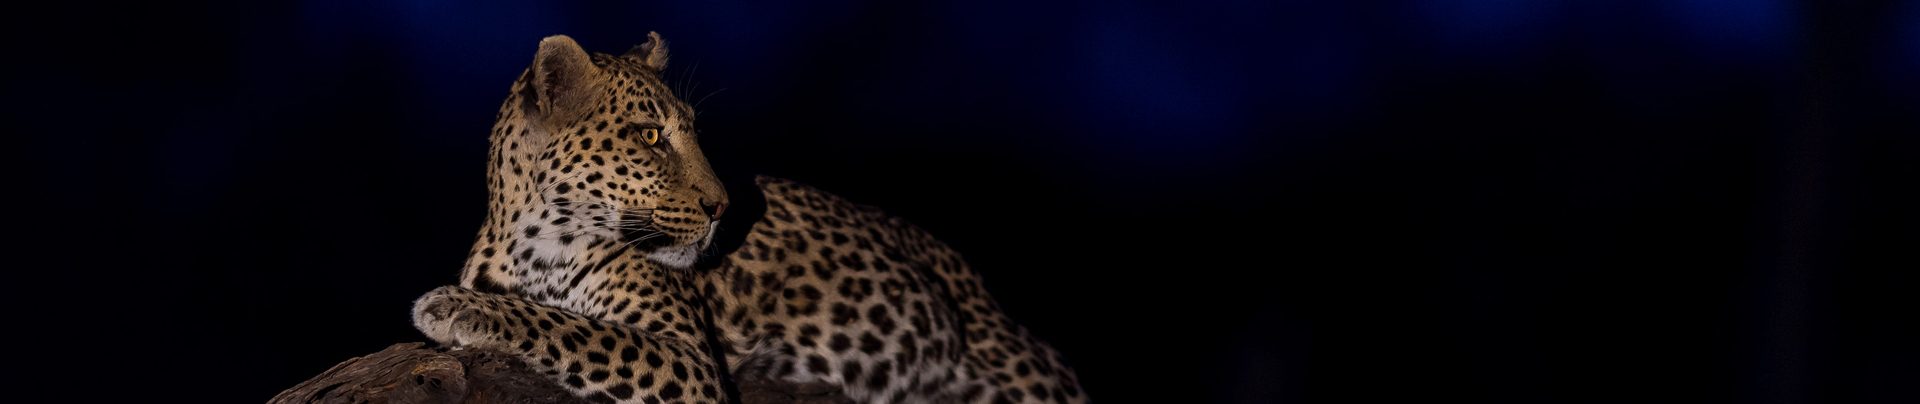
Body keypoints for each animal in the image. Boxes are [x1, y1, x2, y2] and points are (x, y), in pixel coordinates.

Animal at [410, 32, 1086, 404]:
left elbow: (570, 326)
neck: (535, 242)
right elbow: (560, 318)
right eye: (651, 136)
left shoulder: (690, 360)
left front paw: (455, 307)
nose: (722, 208)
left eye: (692, 132)